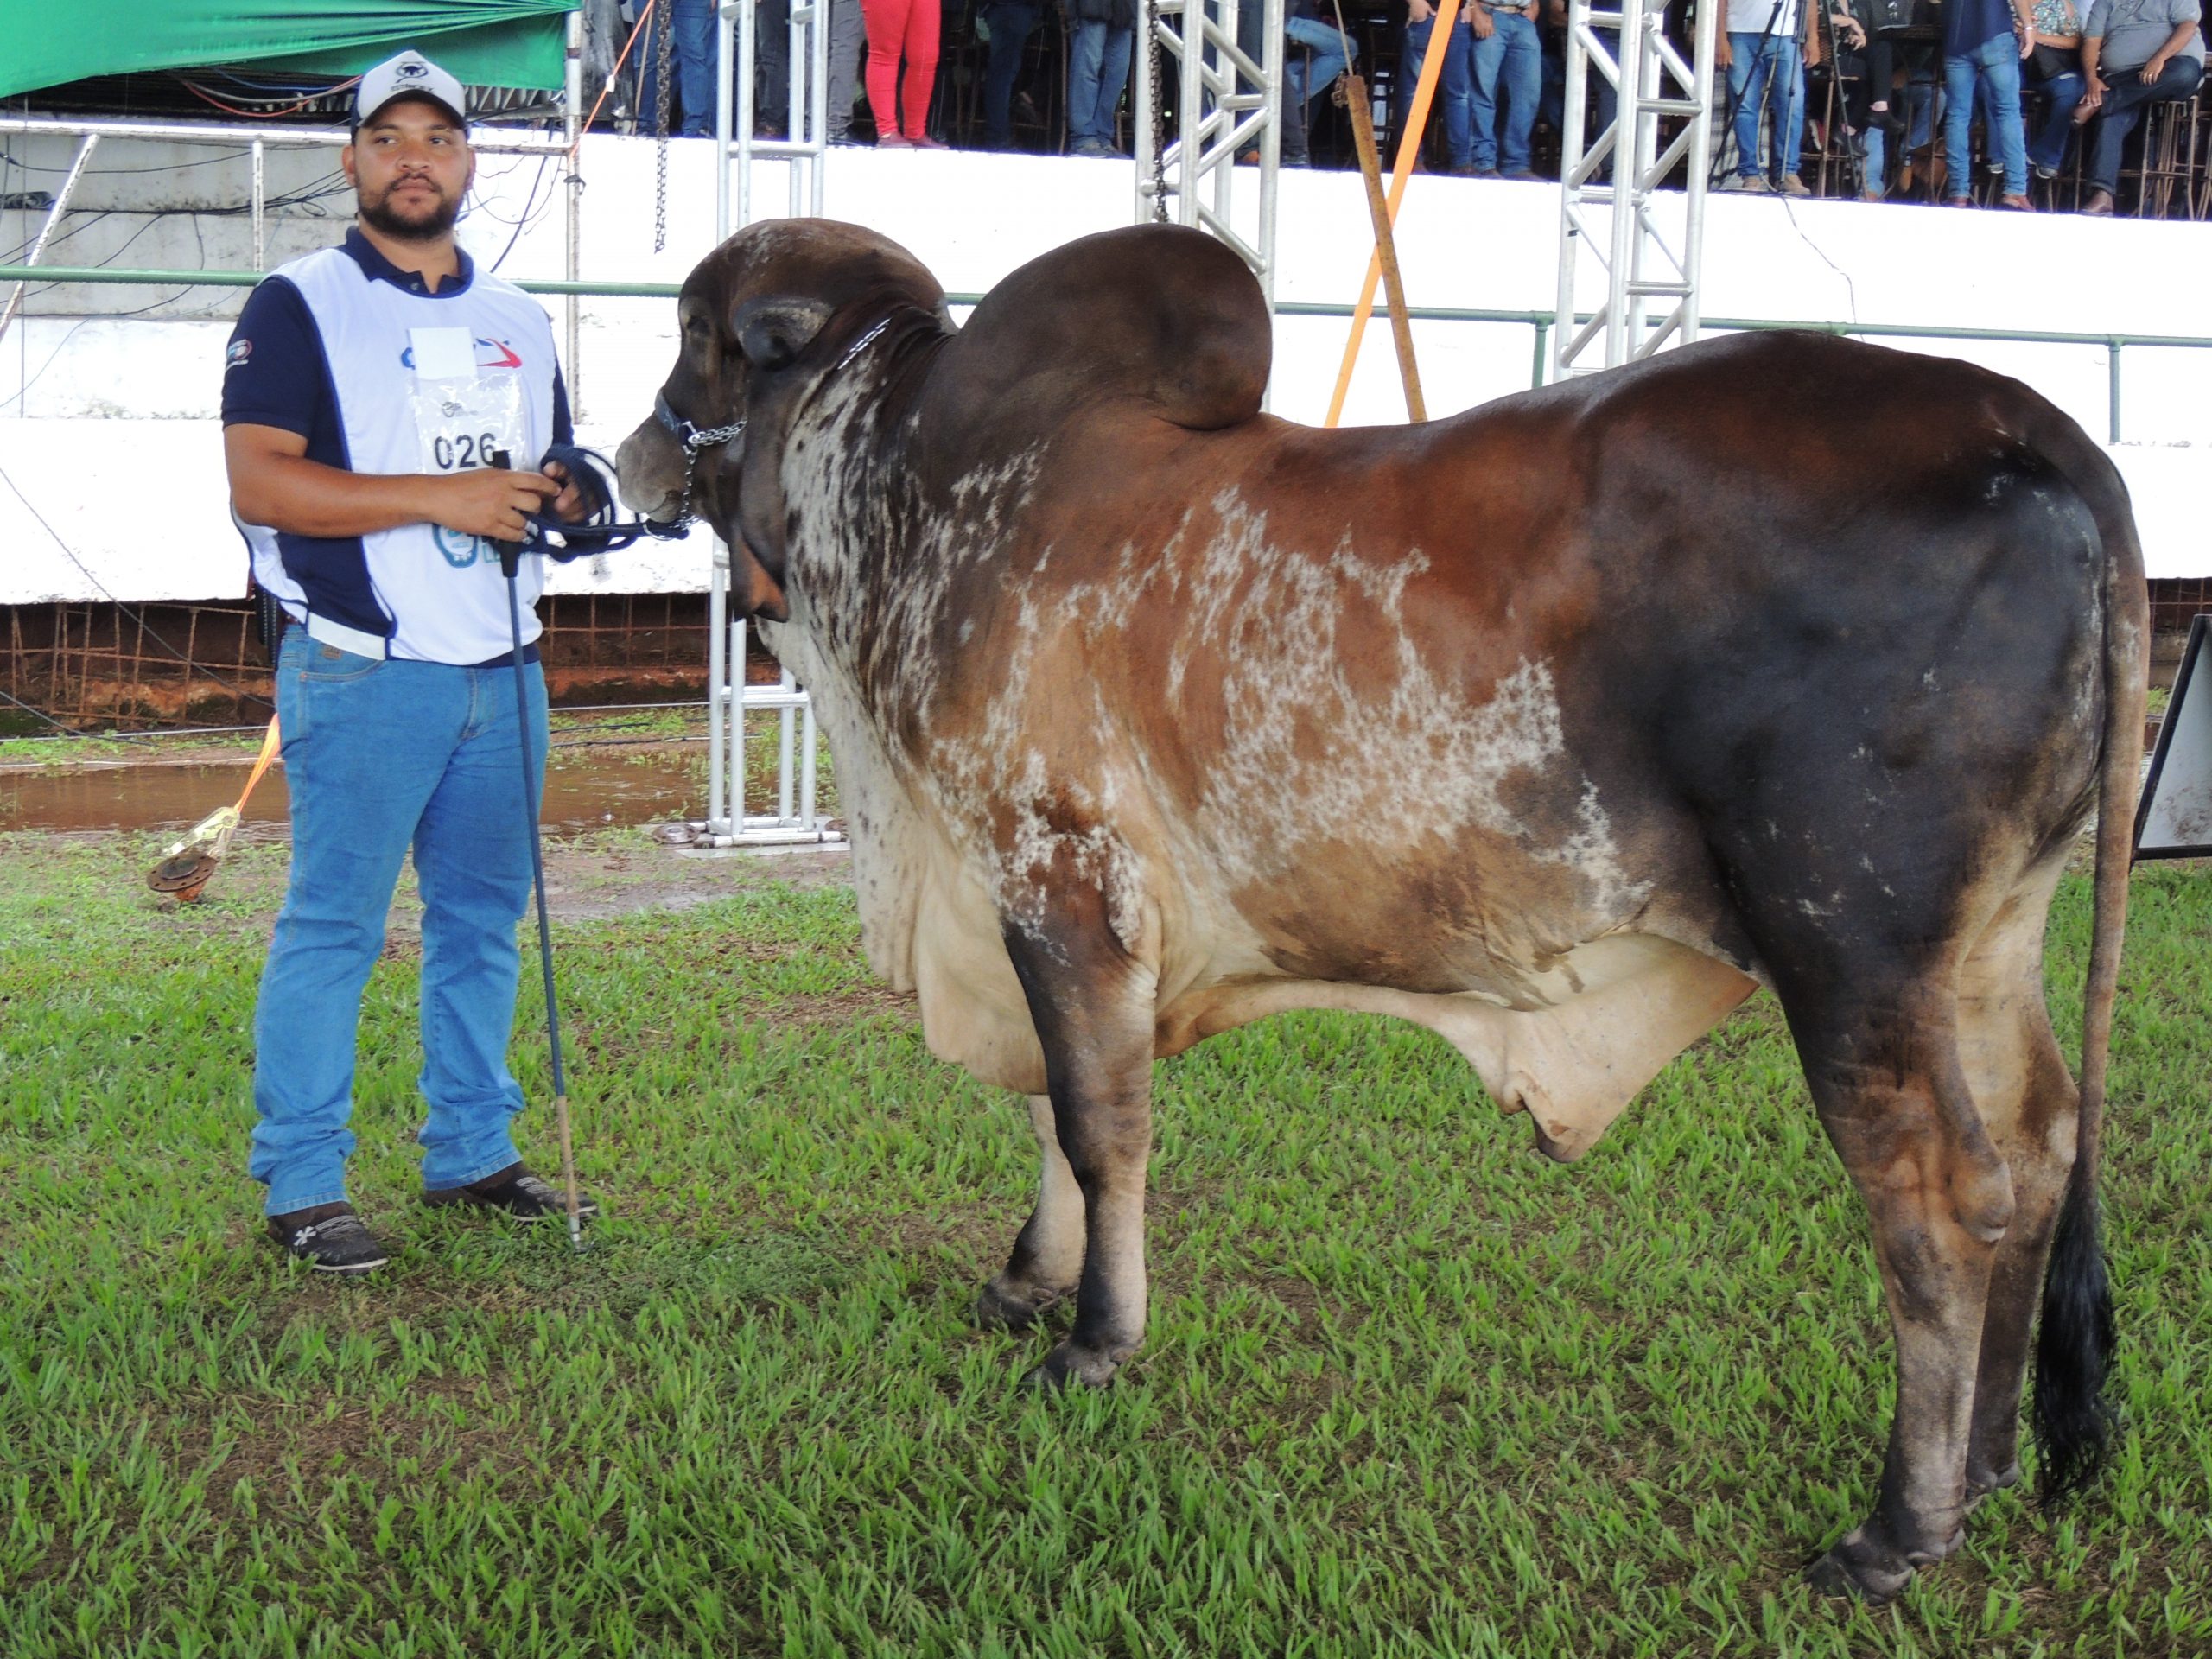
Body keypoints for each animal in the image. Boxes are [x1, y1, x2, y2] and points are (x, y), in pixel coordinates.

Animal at [619, 214, 2141, 1601]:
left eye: (699, 331)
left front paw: (1096, 1340)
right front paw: (1025, 1283)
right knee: (2039, 1145)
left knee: (1942, 1198)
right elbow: (1055, 1112)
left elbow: (1102, 1129)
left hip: (1852, 953)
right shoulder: (1033, 911)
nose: (628, 451)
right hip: (1988, 942)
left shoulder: (1065, 886)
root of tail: (2038, 436)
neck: (918, 493)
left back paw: (1900, 1529)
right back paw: (1989, 1464)